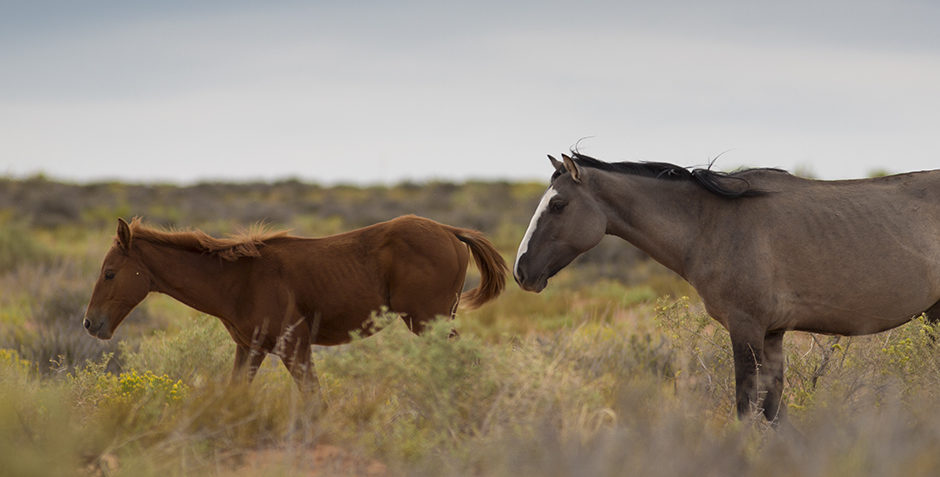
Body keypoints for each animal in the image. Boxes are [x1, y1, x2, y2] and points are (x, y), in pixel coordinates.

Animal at [86, 214, 506, 396]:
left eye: (109, 273)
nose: (90, 324)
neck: (240, 279)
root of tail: (450, 231)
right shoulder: (251, 348)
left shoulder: (295, 344)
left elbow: (313, 399)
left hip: (429, 322)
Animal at [516, 152, 940, 420]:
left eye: (558, 206)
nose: (522, 271)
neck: (711, 224)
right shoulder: (772, 333)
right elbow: (772, 411)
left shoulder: (746, 327)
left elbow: (746, 407)